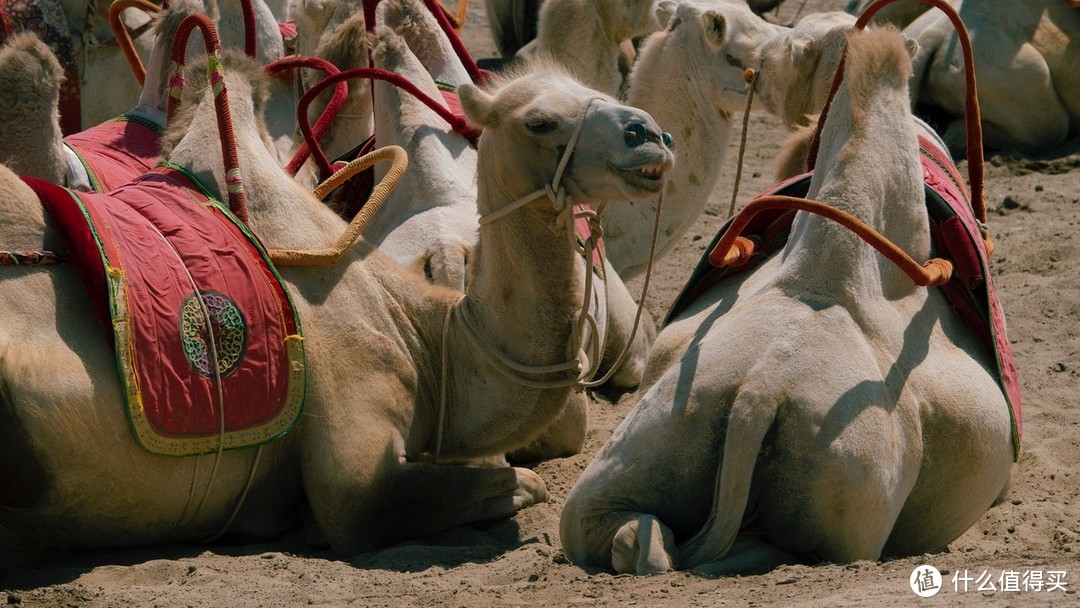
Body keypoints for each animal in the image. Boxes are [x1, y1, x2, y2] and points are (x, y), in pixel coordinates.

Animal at [0, 41, 669, 557]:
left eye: (597, 90)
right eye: (539, 122)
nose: (651, 135)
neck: (428, 337)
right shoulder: (355, 460)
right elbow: (511, 484)